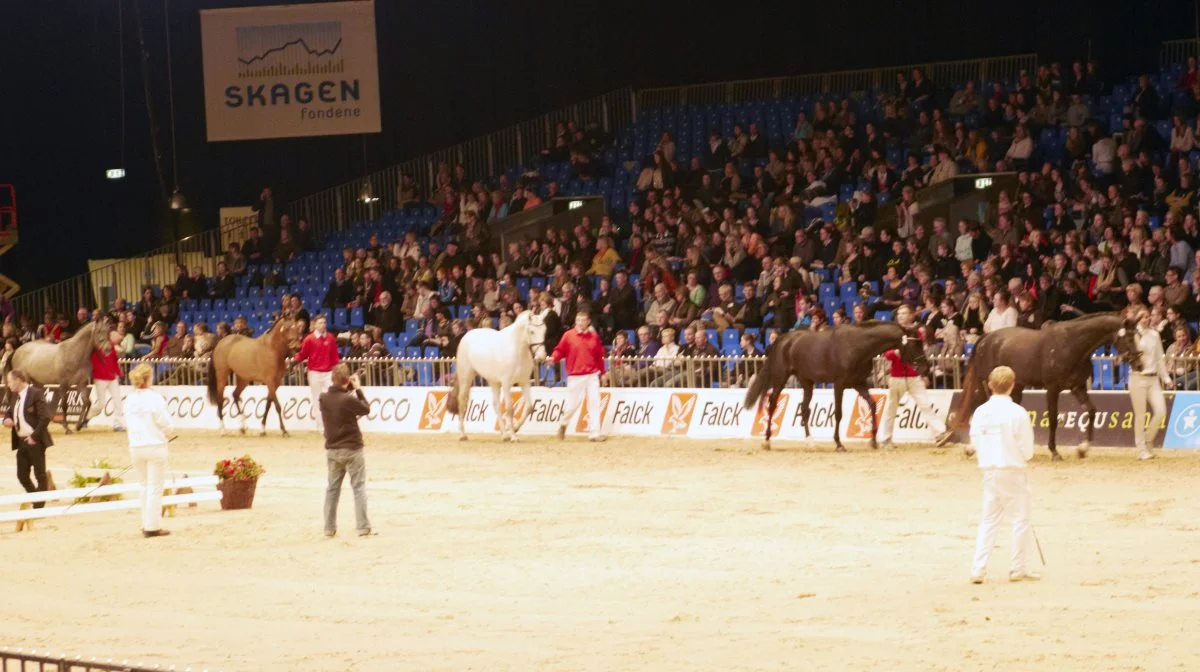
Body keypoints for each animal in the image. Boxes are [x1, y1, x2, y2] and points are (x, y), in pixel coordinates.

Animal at [448, 309, 542, 441]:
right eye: (532, 331)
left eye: (544, 329)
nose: (542, 356)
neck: (516, 349)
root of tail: (466, 336)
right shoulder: (507, 384)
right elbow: (510, 408)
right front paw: (514, 436)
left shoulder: (524, 382)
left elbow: (529, 406)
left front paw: (514, 428)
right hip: (466, 377)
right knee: (462, 401)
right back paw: (463, 435)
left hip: (494, 382)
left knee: (496, 405)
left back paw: (504, 434)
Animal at [739, 321, 926, 451]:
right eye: (914, 344)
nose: (925, 365)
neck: (857, 345)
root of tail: (783, 339)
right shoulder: (839, 384)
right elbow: (838, 413)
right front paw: (839, 444)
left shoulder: (858, 383)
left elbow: (872, 405)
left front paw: (873, 440)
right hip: (780, 378)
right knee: (772, 404)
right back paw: (767, 441)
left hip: (807, 381)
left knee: (804, 409)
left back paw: (810, 442)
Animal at [950, 312, 1137, 458]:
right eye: (1129, 337)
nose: (1137, 360)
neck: (1071, 345)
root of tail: (986, 338)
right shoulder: (1052, 388)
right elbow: (1053, 419)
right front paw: (1054, 452)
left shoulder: (1078, 387)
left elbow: (1091, 411)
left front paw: (1083, 449)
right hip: (988, 384)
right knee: (979, 408)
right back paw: (972, 448)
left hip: (1015, 386)